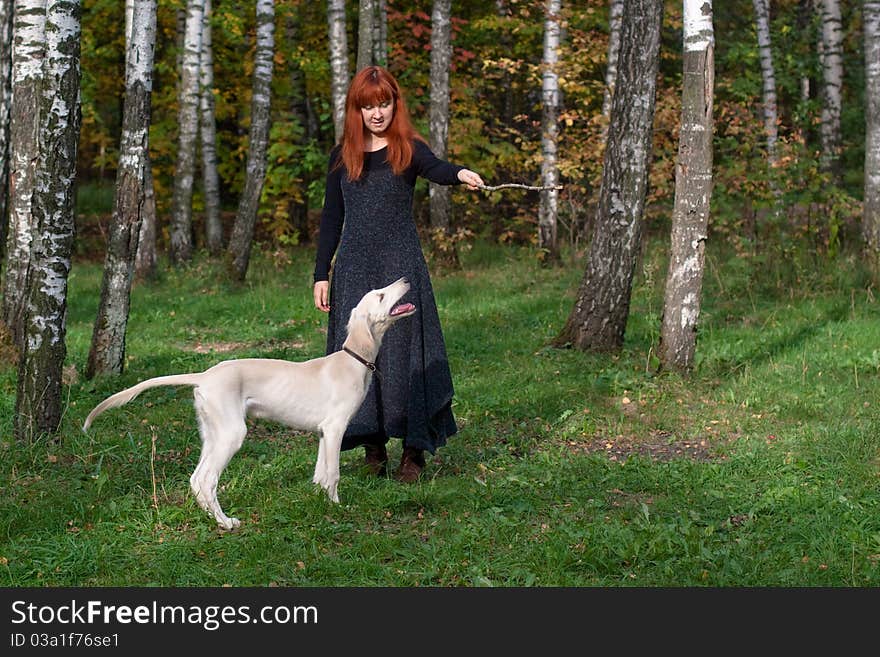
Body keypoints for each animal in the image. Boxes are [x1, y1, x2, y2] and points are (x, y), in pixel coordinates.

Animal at [81, 276, 418, 528]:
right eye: (380, 295)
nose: (405, 279)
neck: (353, 359)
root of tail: (205, 375)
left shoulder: (324, 432)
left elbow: (321, 475)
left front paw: (322, 504)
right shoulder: (335, 428)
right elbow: (333, 474)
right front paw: (338, 509)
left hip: (213, 433)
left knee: (196, 479)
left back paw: (215, 518)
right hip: (232, 433)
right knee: (207, 480)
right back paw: (225, 523)